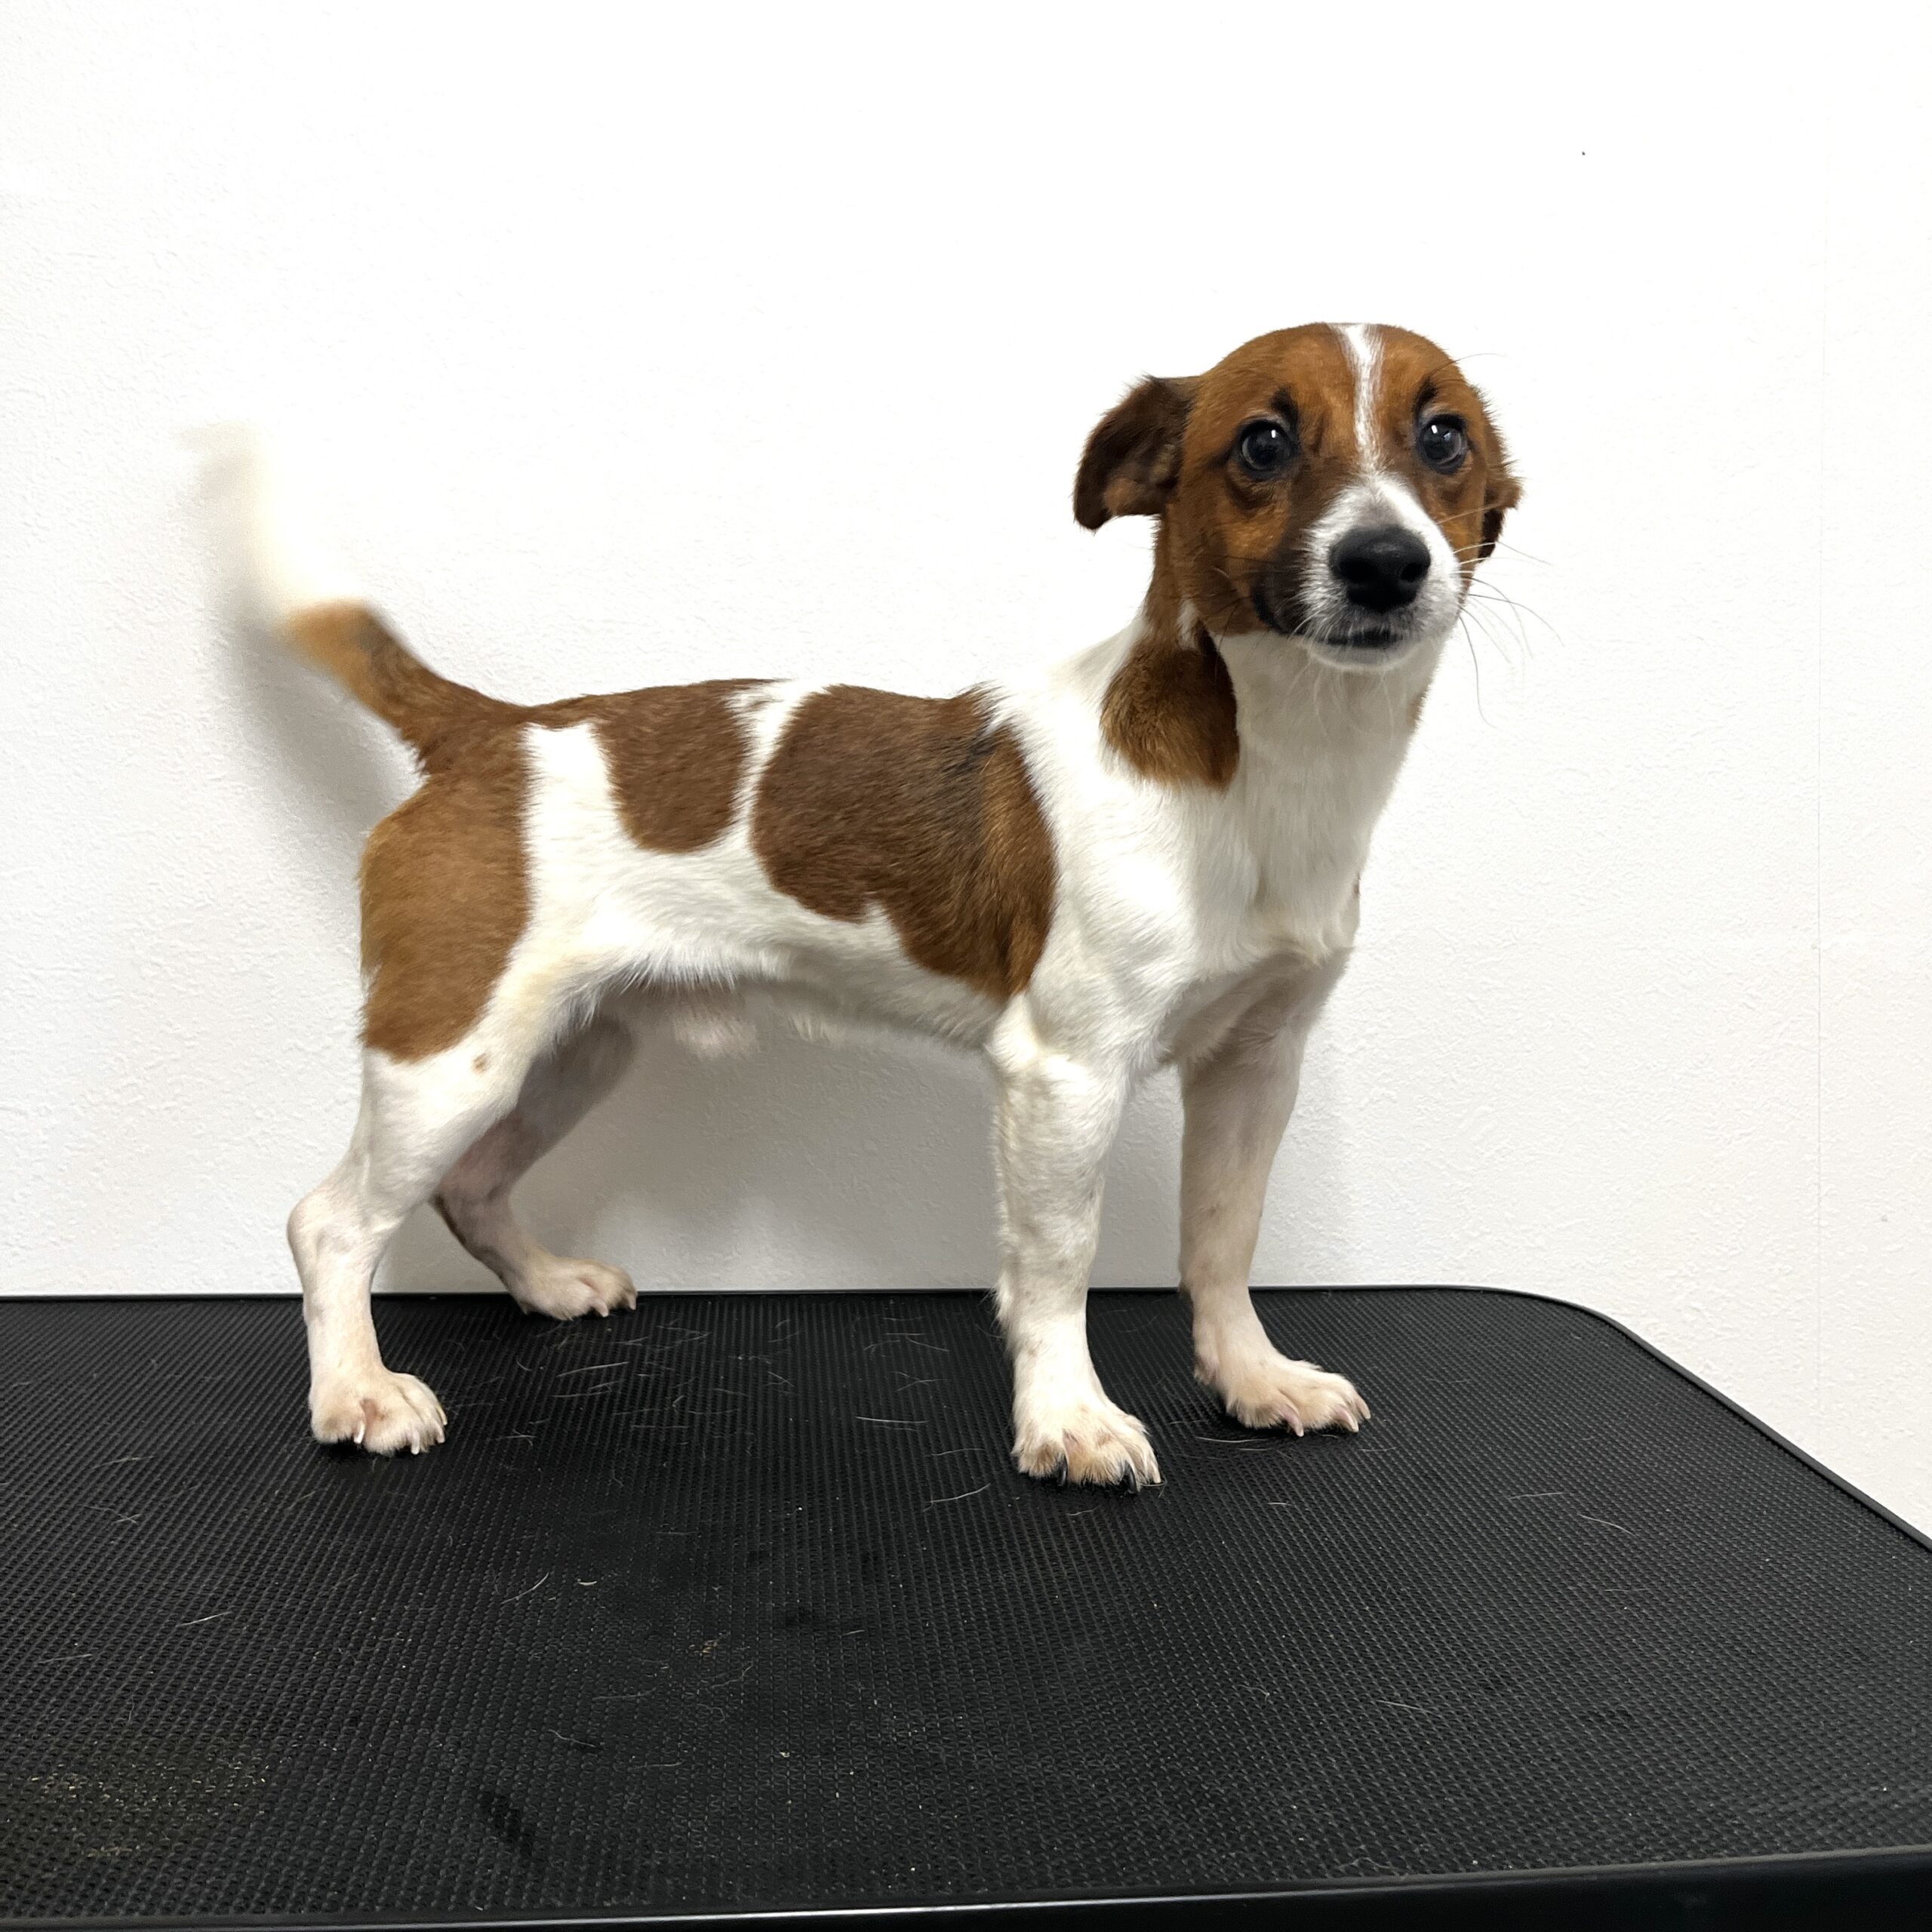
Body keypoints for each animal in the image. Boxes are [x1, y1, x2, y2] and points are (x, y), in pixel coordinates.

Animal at [205, 323, 1518, 1486]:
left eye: (1443, 436)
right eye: (1262, 443)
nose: (1387, 561)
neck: (1267, 768)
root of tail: (493, 728)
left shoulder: (1254, 1064)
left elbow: (1222, 1243)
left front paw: (1252, 1378)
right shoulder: (1064, 1075)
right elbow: (1058, 1262)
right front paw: (1068, 1419)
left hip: (571, 1050)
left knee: (472, 1187)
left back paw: (544, 1284)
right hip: (450, 1056)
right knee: (331, 1223)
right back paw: (356, 1392)